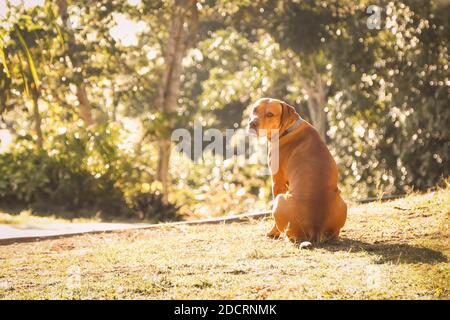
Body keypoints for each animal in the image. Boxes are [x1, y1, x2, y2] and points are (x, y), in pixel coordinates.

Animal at [248, 97, 346, 242]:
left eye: (270, 114)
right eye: (255, 109)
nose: (252, 123)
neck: (288, 129)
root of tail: (315, 228)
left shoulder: (278, 183)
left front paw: (273, 232)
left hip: (280, 200)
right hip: (343, 202)